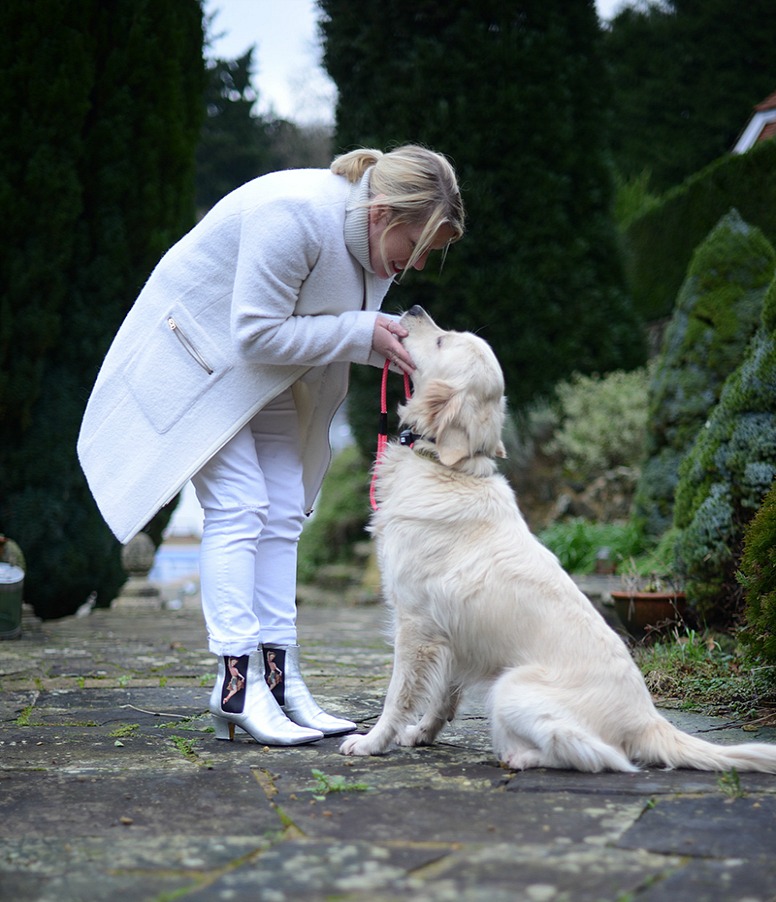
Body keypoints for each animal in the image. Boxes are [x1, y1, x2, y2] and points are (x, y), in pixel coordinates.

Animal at [342, 310, 776, 776]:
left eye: (442, 341)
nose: (414, 310)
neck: (446, 466)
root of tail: (648, 719)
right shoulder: (453, 635)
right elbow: (443, 697)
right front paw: (421, 734)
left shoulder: (416, 625)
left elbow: (398, 695)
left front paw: (372, 741)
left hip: (510, 685)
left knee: (597, 755)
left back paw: (520, 756)